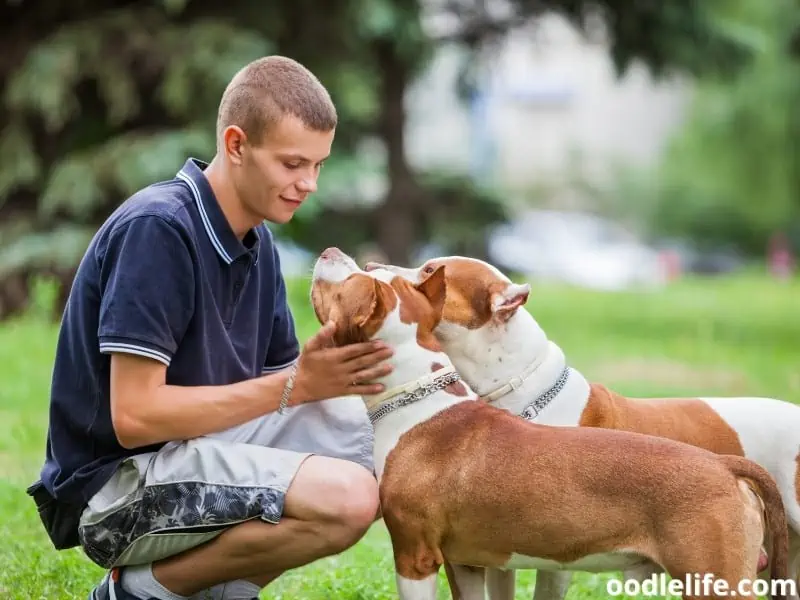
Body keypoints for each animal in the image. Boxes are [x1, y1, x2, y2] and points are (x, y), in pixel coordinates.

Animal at [310, 247, 788, 600]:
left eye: (348, 284)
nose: (339, 253)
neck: (420, 395)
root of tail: (724, 466)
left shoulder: (415, 555)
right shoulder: (469, 561)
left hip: (715, 580)